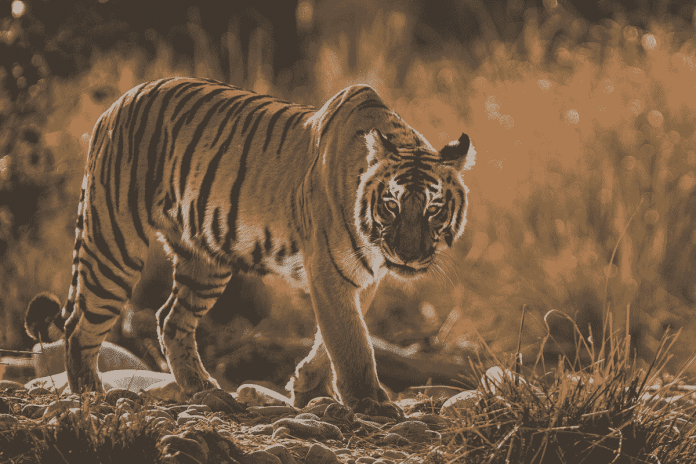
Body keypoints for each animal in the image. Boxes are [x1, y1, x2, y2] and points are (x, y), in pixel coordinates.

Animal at [28, 77, 474, 416]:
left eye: (434, 209)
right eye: (391, 205)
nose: (409, 256)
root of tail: (115, 104)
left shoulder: (360, 279)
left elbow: (333, 338)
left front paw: (307, 388)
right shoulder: (329, 272)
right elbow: (351, 342)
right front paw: (370, 403)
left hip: (204, 262)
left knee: (171, 318)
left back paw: (204, 389)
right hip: (114, 243)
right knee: (79, 326)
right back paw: (92, 397)